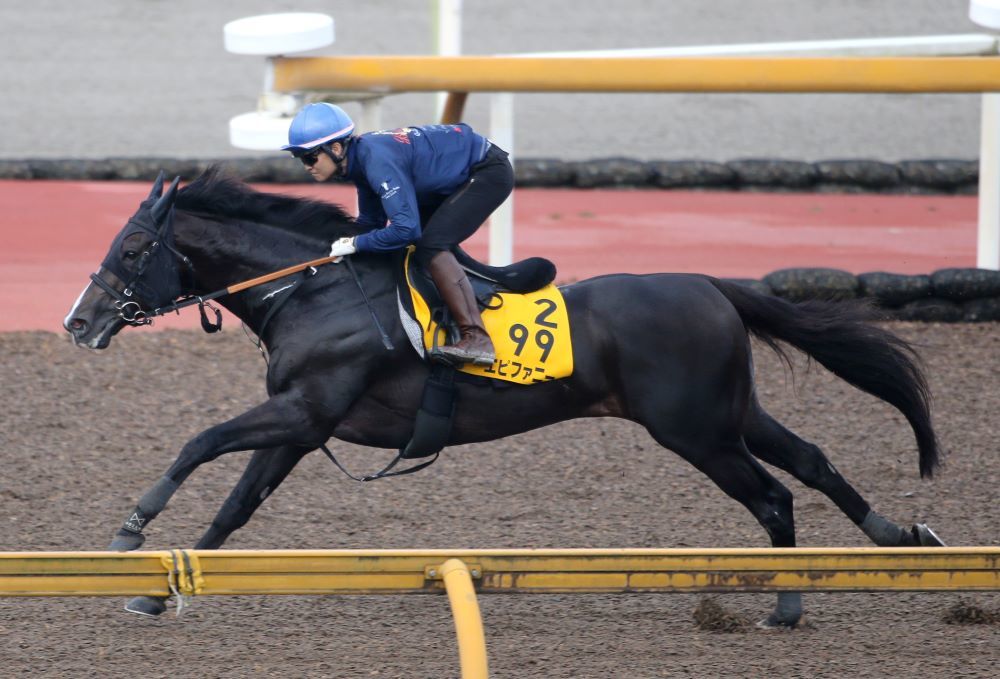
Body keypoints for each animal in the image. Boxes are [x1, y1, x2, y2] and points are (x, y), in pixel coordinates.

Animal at [64, 170, 944, 628]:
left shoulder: (305, 411)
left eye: (134, 247)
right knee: (812, 462)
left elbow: (198, 442)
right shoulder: (304, 424)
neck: (313, 290)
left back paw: (789, 604)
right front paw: (159, 590)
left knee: (772, 495)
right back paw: (901, 536)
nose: (78, 321)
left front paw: (130, 530)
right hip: (729, 413)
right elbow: (236, 504)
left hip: (696, 430)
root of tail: (711, 283)